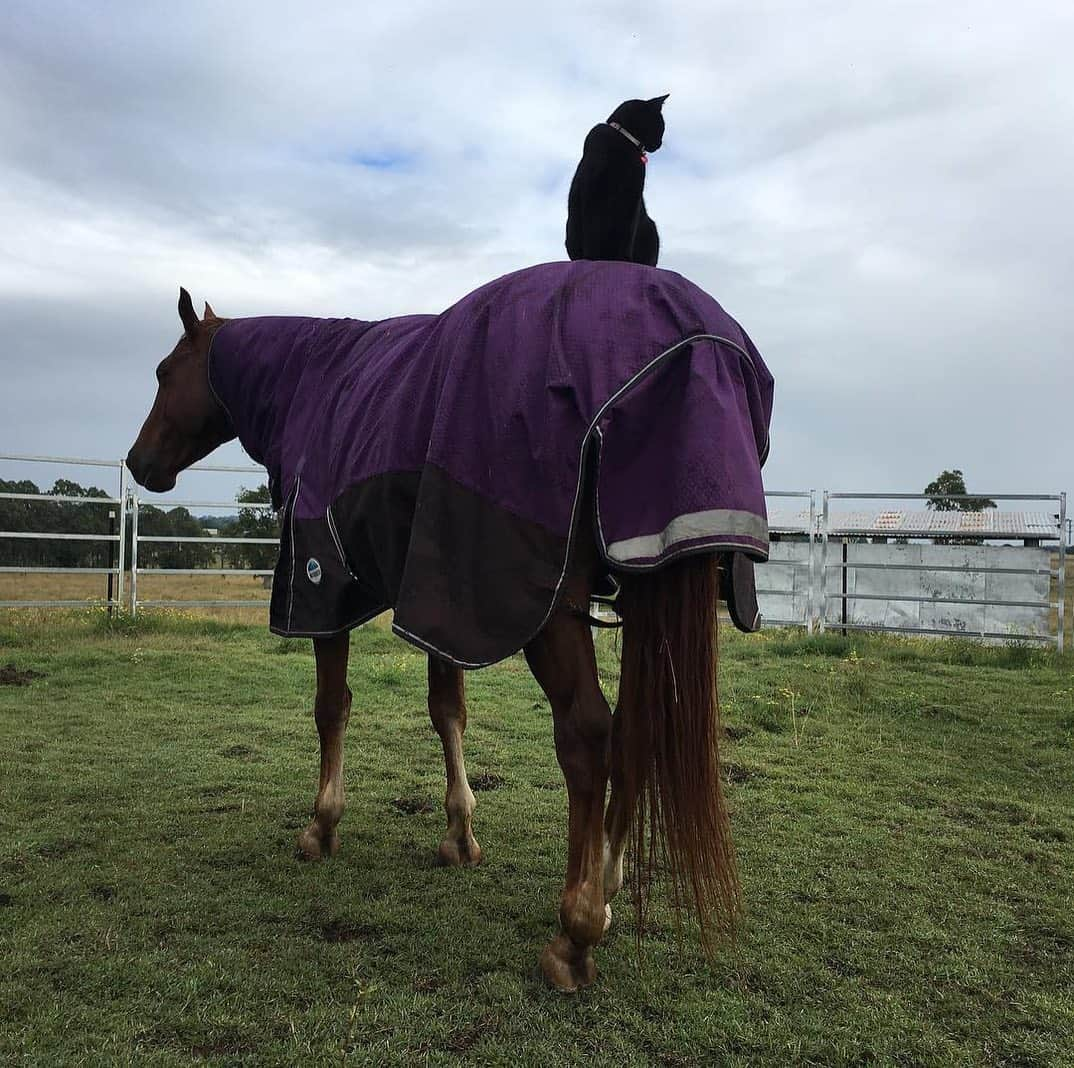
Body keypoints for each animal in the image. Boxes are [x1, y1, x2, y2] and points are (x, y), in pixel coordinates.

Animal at [125, 260, 773, 992]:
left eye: (163, 372)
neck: (311, 385)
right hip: (642, 582)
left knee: (587, 735)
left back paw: (575, 931)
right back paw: (605, 886)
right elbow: (447, 710)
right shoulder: (439, 592)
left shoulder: (323, 584)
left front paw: (322, 826)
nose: (138, 462)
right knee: (638, 730)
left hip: (553, 608)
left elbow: (331, 707)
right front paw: (460, 834)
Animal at [567, 95, 665, 266]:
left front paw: (624, 260)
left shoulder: (633, 196)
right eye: (661, 126)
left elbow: (627, 233)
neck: (624, 140)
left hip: (651, 230)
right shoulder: (592, 189)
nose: (660, 144)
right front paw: (592, 258)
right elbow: (592, 230)